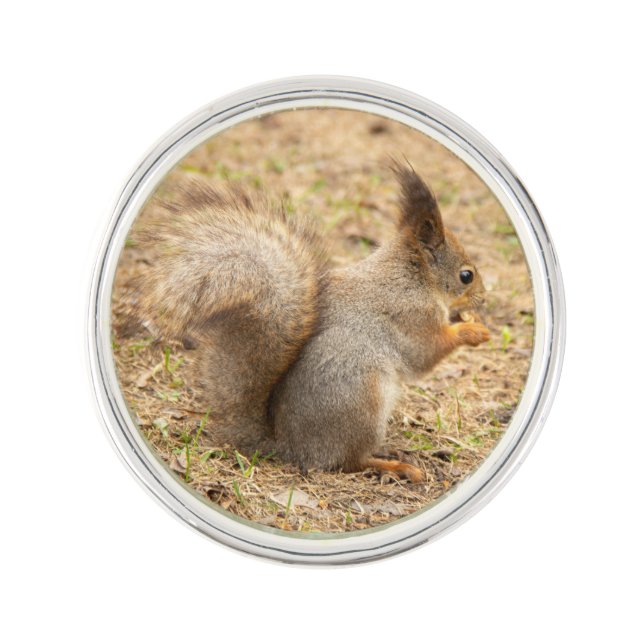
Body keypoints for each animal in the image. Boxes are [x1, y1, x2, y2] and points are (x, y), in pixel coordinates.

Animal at [133, 163, 490, 483]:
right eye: (466, 275)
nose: (484, 299)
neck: (412, 278)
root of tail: (291, 448)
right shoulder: (412, 316)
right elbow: (425, 354)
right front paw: (472, 330)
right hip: (361, 399)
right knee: (348, 462)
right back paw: (394, 466)